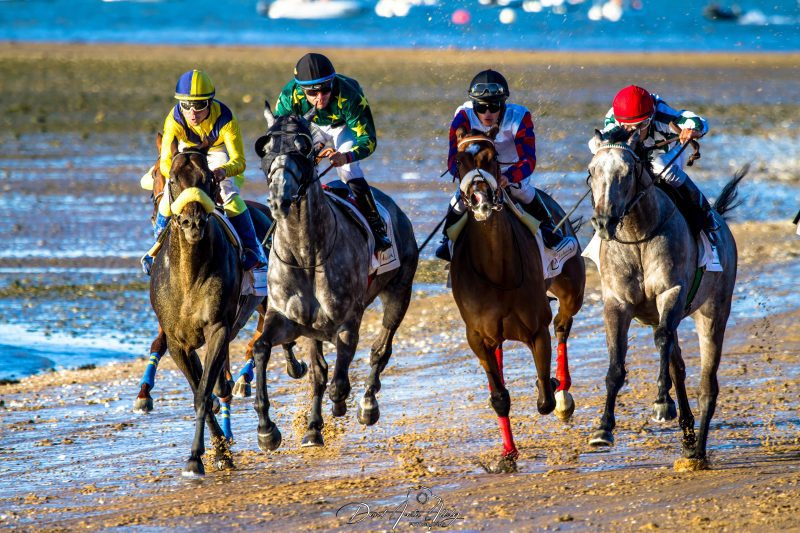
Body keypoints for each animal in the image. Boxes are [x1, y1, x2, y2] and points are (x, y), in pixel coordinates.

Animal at [133, 133, 306, 429]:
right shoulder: (173, 327)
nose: (191, 222)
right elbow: (163, 346)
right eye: (163, 175)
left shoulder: (220, 321)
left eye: (208, 179)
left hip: (264, 297)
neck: (188, 273)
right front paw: (144, 393)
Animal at [249, 102, 418, 451]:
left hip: (399, 292)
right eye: (266, 148)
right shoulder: (287, 319)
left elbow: (339, 381)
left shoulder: (347, 321)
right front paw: (267, 429)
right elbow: (264, 350)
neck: (306, 255)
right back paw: (314, 427)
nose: (279, 199)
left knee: (380, 350)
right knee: (319, 371)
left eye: (304, 148)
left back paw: (367, 405)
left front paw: (343, 403)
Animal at [450, 126, 585, 473]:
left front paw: (551, 386)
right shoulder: (476, 336)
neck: (498, 271)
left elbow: (545, 398)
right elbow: (500, 397)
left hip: (572, 289)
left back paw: (564, 392)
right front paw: (507, 454)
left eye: (492, 158)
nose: (480, 200)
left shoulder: (537, 330)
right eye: (459, 160)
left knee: (563, 324)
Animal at [586, 130, 744, 470]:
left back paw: (698, 451)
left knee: (707, 384)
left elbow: (661, 340)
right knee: (678, 367)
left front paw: (660, 403)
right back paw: (687, 436)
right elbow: (616, 365)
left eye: (626, 172)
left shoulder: (670, 293)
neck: (637, 237)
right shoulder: (616, 304)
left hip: (713, 312)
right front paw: (603, 428)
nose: (604, 222)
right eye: (592, 171)